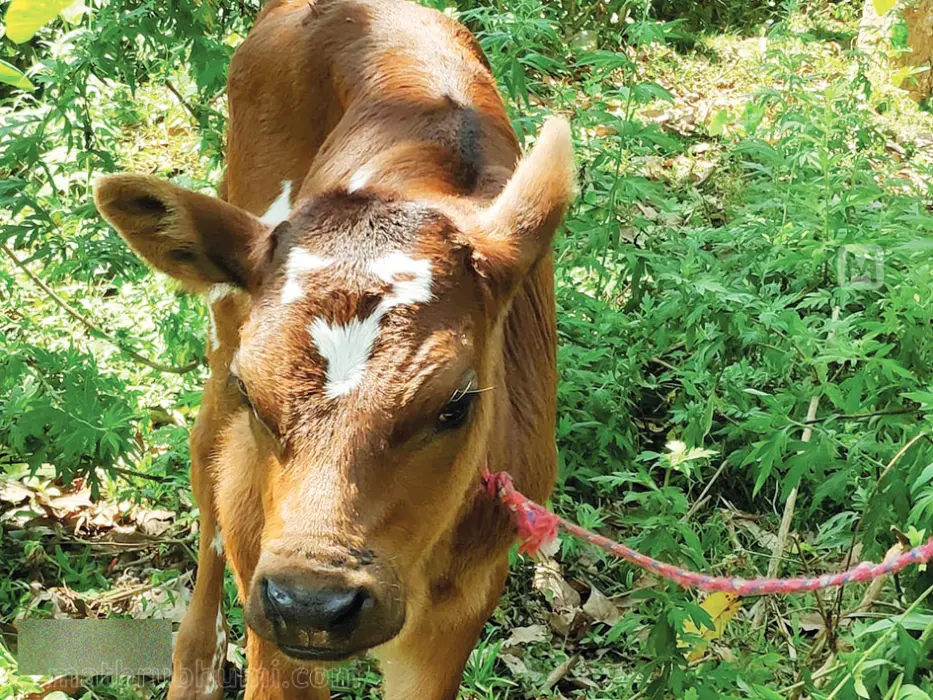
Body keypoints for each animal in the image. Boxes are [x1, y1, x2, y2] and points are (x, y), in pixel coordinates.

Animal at [93, 0, 574, 696]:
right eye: (253, 394)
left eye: (455, 405)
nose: (312, 605)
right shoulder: (263, 571)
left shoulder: (462, 608)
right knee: (205, 451)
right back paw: (194, 665)